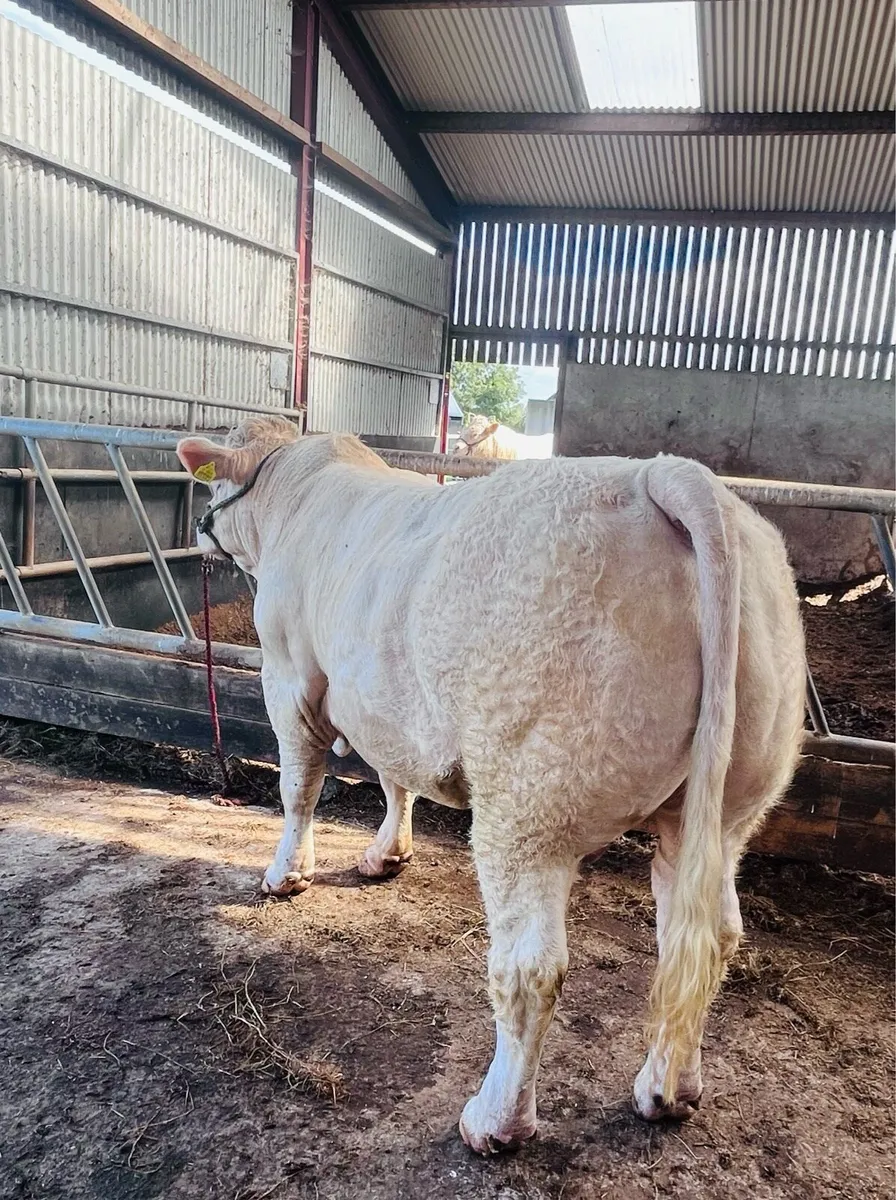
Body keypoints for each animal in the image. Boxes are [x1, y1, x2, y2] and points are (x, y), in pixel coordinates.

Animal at [177, 415, 806, 1155]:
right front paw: (387, 854)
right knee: (706, 935)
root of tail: (662, 472)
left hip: (530, 799)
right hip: (731, 801)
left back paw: (495, 1120)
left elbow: (299, 785)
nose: (198, 529)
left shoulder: (291, 672)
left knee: (531, 967)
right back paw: (667, 1089)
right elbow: (395, 774)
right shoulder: (390, 699)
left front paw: (285, 874)